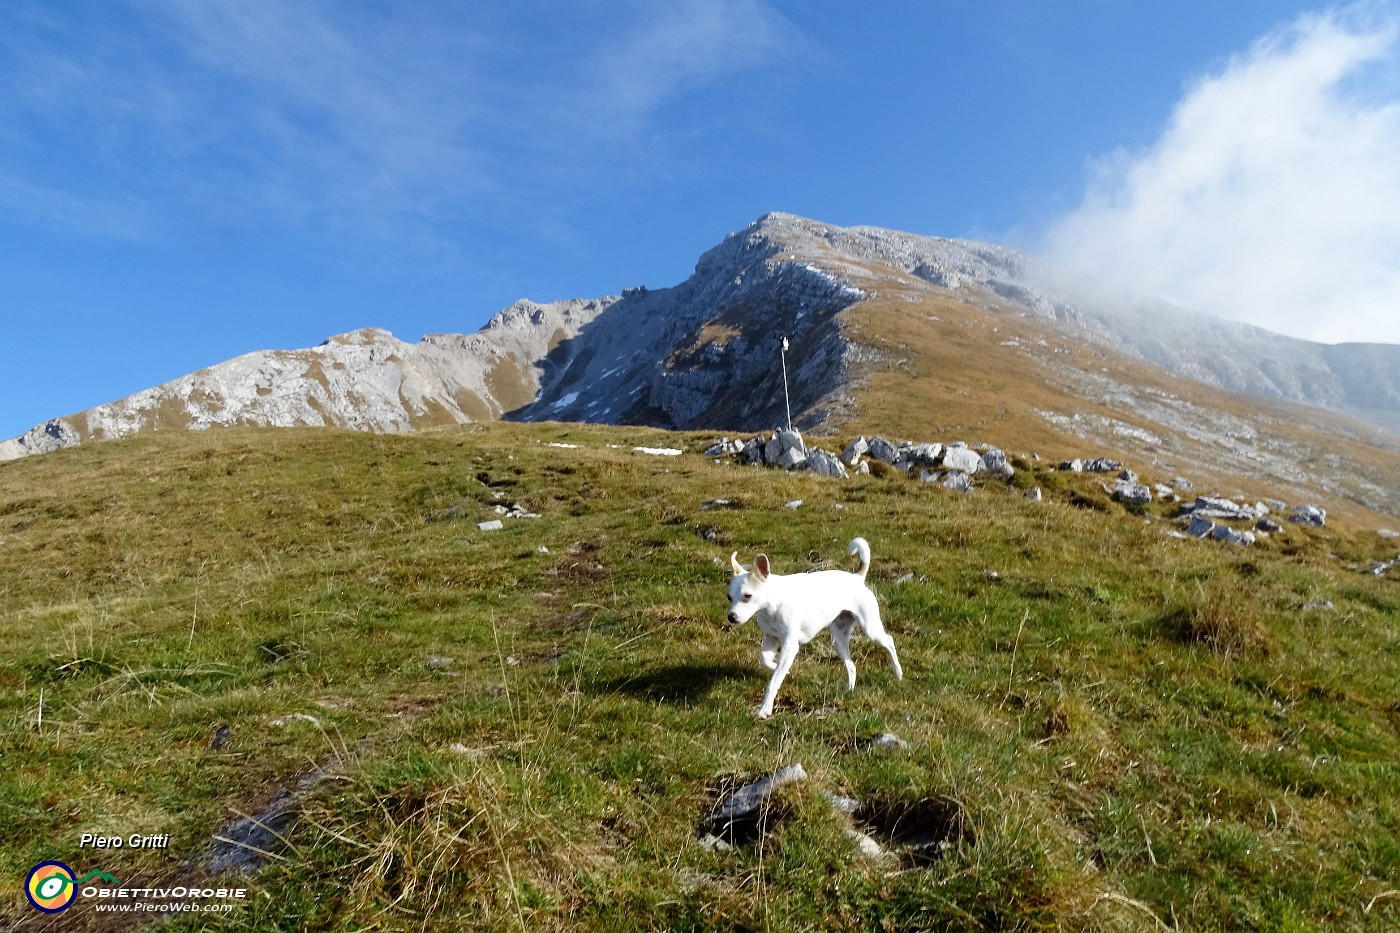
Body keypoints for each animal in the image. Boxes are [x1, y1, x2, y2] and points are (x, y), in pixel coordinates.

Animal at [728, 535, 901, 714]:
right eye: (729, 597)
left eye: (747, 596)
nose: (731, 617)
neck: (773, 603)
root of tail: (857, 578)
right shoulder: (770, 638)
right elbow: (764, 660)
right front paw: (780, 669)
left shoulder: (790, 646)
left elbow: (774, 681)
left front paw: (765, 708)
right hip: (838, 641)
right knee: (852, 666)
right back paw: (849, 691)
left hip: (870, 629)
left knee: (889, 641)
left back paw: (897, 672)